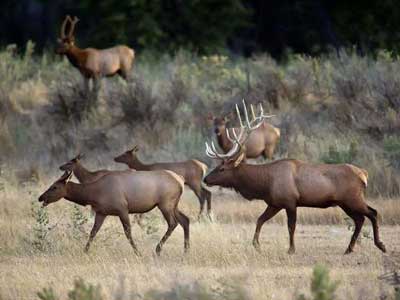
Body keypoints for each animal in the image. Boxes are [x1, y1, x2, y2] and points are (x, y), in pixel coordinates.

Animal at [205, 99, 386, 254]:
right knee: (360, 219)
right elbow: (260, 220)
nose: (206, 179)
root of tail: (364, 174)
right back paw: (349, 248)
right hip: (345, 202)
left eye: (221, 168)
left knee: (372, 213)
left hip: (352, 198)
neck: (264, 184)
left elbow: (291, 226)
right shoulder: (274, 203)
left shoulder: (290, 201)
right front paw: (256, 245)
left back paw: (380, 245)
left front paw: (291, 249)